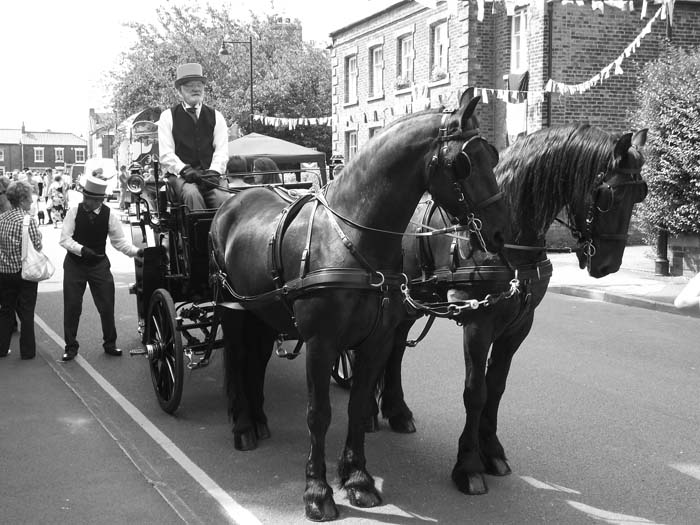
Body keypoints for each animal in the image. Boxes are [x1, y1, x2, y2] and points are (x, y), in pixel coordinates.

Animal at [208, 94, 508, 520]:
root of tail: (235, 198)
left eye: (492, 154)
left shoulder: (376, 340)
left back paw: (260, 419)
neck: (351, 236)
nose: (500, 231)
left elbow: (357, 404)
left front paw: (357, 479)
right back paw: (244, 425)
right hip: (235, 311)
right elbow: (319, 414)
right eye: (464, 162)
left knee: (256, 362)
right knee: (237, 360)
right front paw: (317, 490)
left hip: (263, 314)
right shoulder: (320, 343)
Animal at [374, 123, 648, 496]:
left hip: (408, 305)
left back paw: (396, 410)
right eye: (608, 196)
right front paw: (468, 465)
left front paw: (492, 452)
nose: (608, 265)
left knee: (395, 350)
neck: (509, 245)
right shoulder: (478, 323)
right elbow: (475, 392)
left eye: (641, 194)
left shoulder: (519, 325)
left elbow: (497, 388)